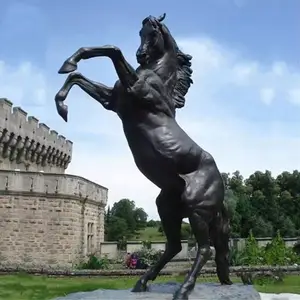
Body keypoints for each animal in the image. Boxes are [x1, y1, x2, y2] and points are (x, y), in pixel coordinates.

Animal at [54, 13, 232, 300]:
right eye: (140, 32)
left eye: (153, 33)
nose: (140, 55)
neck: (155, 77)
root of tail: (220, 186)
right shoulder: (112, 101)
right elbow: (78, 77)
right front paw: (63, 99)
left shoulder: (135, 90)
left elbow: (112, 49)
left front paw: (68, 70)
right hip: (168, 208)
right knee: (173, 246)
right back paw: (142, 282)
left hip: (198, 210)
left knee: (204, 249)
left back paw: (183, 289)